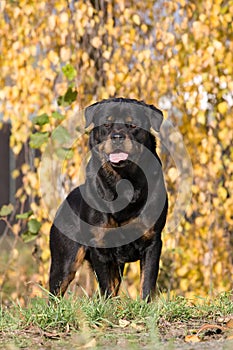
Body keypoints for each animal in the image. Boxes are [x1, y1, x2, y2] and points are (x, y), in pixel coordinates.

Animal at [48, 98, 167, 300]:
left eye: (132, 125)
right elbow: (106, 288)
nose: (117, 136)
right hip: (65, 261)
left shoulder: (152, 242)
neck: (124, 183)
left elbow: (147, 283)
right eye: (106, 124)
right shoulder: (101, 246)